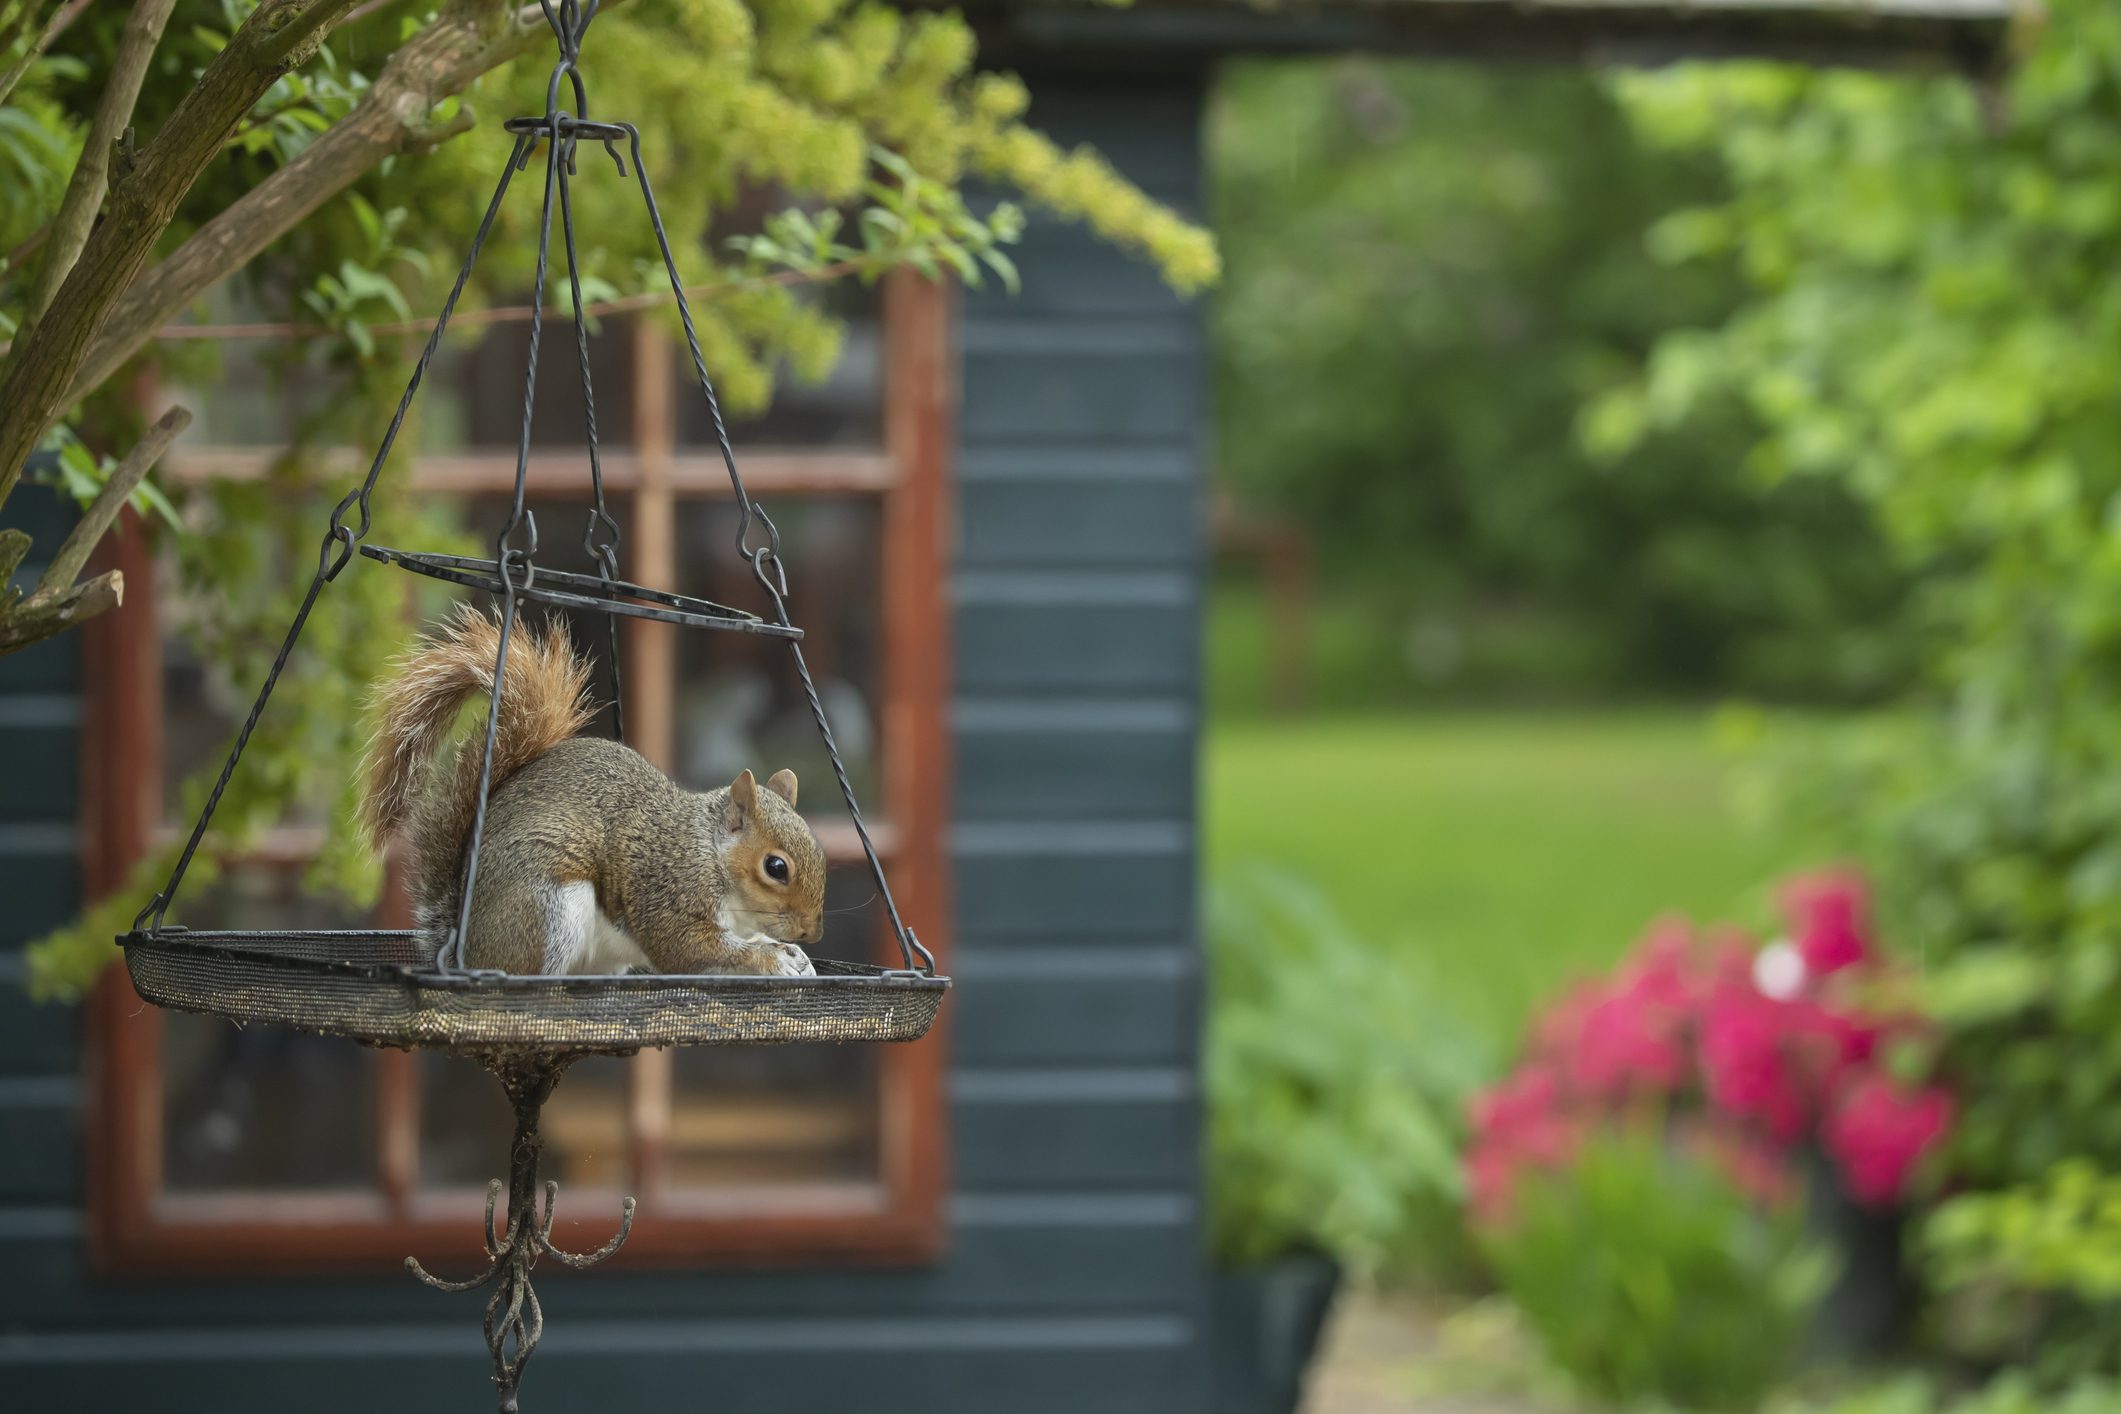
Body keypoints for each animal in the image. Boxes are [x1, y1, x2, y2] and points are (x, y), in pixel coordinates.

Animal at [357, 606, 825, 977]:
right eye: (776, 867)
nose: (812, 931)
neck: (710, 854)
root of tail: (460, 948)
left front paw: (793, 955)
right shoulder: (669, 889)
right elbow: (689, 949)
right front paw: (773, 959)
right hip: (545, 908)